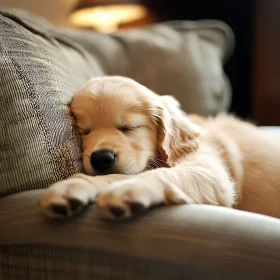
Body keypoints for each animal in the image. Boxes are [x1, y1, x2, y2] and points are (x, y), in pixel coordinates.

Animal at [38, 76, 280, 219]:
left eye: (128, 127)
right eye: (84, 131)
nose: (101, 158)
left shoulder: (211, 173)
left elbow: (158, 174)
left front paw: (128, 189)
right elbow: (116, 174)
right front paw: (75, 186)